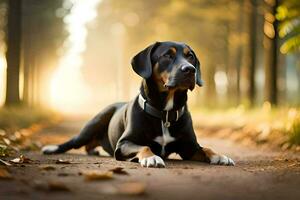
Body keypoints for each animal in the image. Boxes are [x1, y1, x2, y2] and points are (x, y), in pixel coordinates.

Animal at [42, 41, 234, 168]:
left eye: (190, 56)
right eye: (167, 55)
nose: (190, 70)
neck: (165, 113)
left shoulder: (189, 147)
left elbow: (206, 148)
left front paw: (219, 156)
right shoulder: (124, 143)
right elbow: (145, 146)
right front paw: (152, 157)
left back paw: (93, 150)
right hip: (93, 124)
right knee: (74, 141)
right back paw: (52, 148)